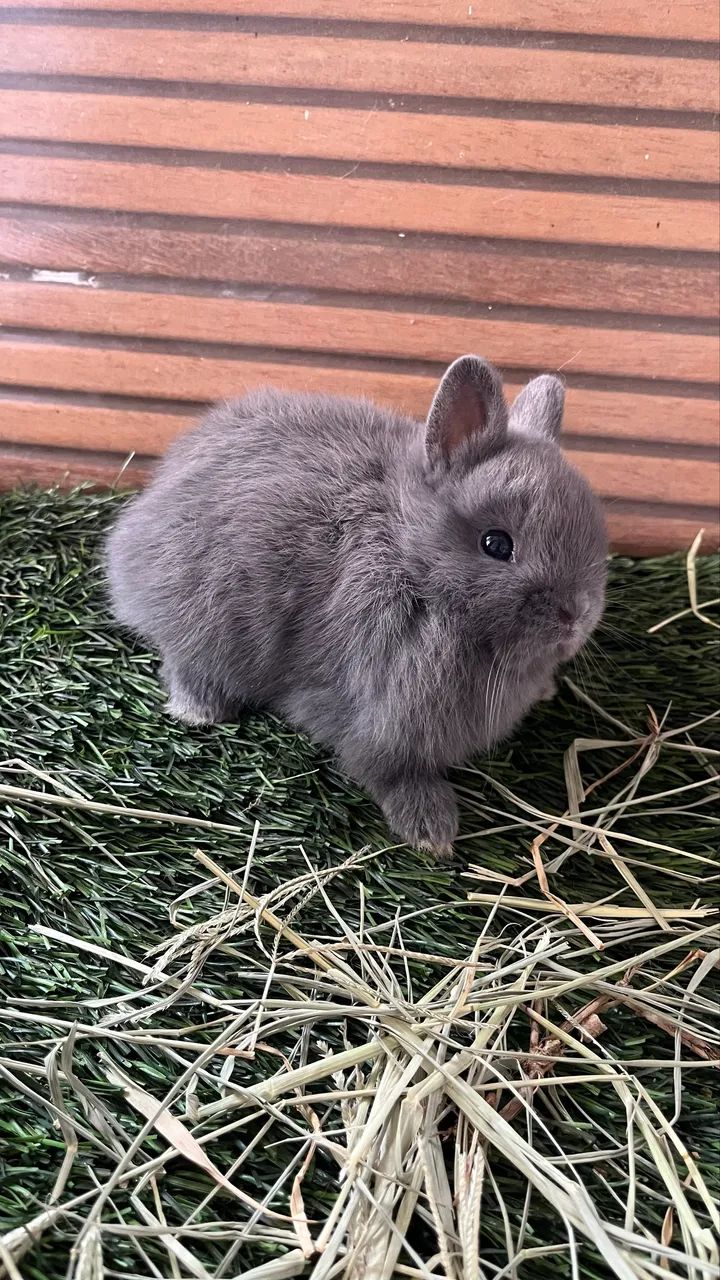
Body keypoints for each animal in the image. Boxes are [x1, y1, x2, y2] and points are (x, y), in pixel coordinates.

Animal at [107, 356, 607, 859]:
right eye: (496, 544)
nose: (575, 616)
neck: (410, 561)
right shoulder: (376, 715)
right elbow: (388, 770)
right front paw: (431, 830)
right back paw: (198, 709)